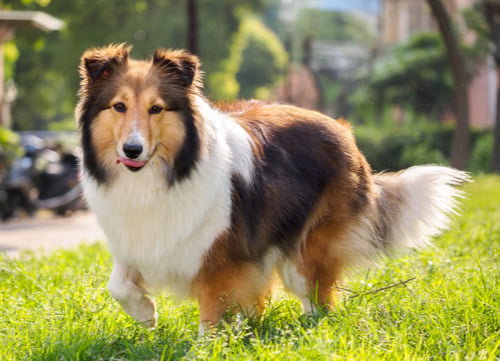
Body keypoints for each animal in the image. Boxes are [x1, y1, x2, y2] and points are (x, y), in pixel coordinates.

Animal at [75, 44, 468, 332]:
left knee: (318, 299)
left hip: (307, 251)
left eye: (156, 109)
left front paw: (208, 346)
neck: (166, 172)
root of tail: (344, 130)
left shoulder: (221, 259)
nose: (132, 150)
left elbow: (212, 315)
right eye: (119, 106)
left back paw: (310, 332)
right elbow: (118, 284)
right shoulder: (138, 241)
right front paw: (146, 314)